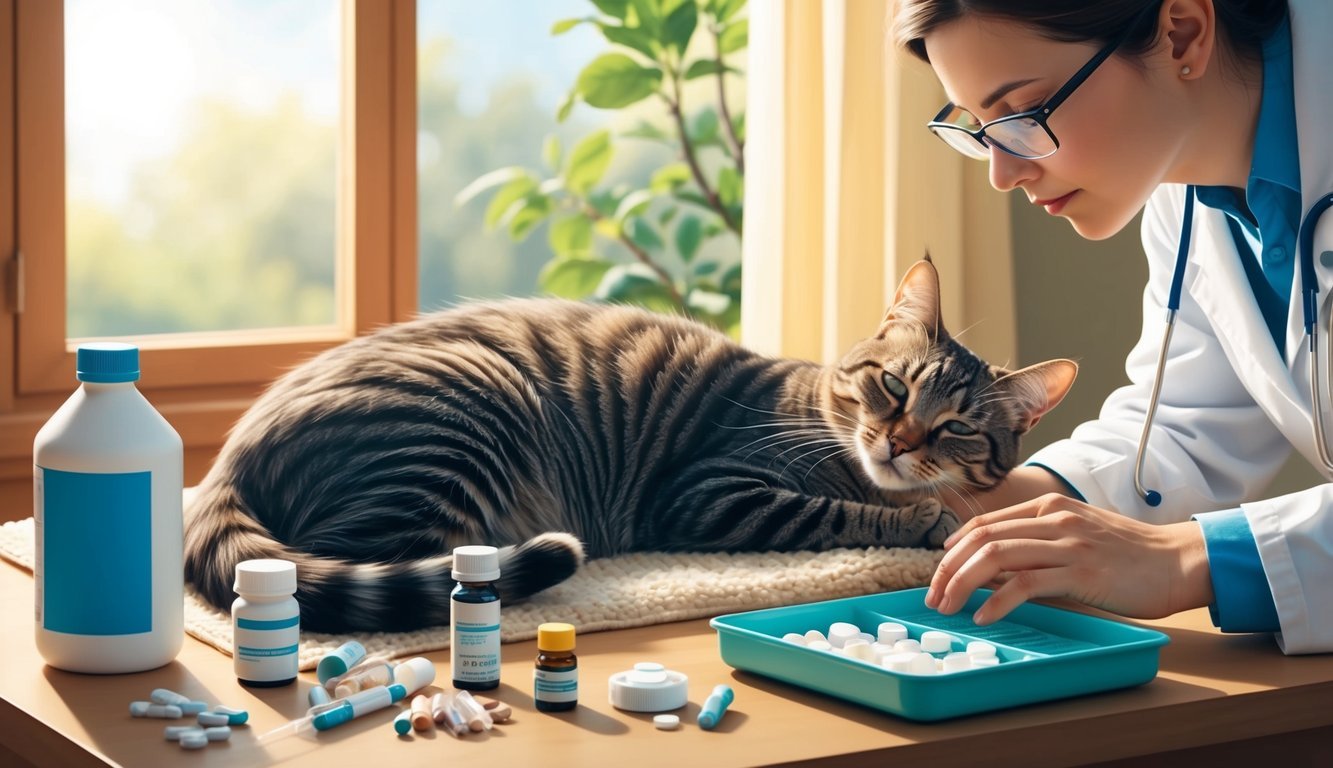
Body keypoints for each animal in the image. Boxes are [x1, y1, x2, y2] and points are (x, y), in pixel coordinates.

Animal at [185, 261, 1071, 632]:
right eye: (891, 384)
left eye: (956, 426)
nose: (897, 439)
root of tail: (231, 454)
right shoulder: (713, 495)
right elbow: (839, 513)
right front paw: (926, 521)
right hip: (458, 420)